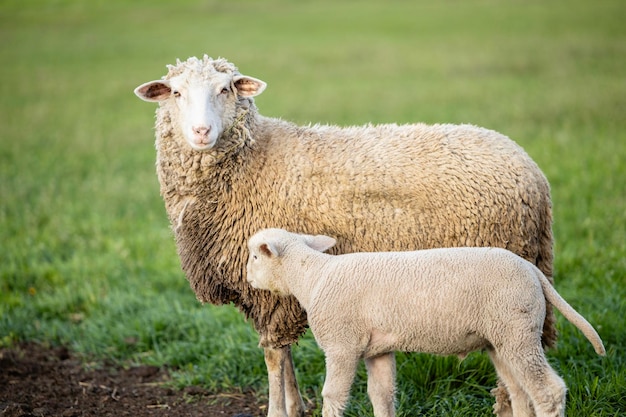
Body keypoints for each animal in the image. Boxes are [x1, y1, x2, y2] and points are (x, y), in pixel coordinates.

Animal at [134, 55, 552, 416]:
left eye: (225, 90)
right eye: (175, 93)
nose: (201, 131)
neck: (252, 159)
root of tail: (533, 173)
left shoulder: (272, 295)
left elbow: (273, 355)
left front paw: (277, 410)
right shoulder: (283, 289)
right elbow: (285, 356)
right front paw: (295, 406)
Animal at [247, 228, 604, 416]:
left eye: (253, 256)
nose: (248, 278)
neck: (313, 276)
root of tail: (533, 271)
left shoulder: (341, 345)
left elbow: (333, 395)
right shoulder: (377, 349)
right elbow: (382, 394)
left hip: (518, 331)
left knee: (547, 391)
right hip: (503, 338)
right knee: (519, 390)